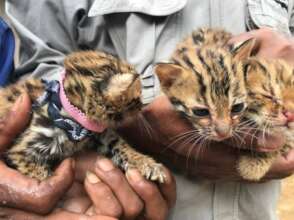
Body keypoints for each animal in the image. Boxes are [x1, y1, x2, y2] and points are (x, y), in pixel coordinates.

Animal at [0, 50, 165, 182]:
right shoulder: (20, 152)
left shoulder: (97, 135)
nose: (142, 105)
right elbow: (42, 177)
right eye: (136, 99)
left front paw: (148, 164)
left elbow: (120, 145)